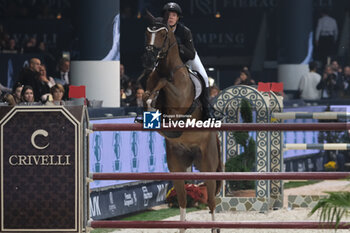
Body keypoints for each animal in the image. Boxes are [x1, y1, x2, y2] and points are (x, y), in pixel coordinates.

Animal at [142, 12, 221, 233]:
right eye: (147, 32)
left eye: (162, 34)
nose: (149, 59)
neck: (166, 68)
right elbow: (147, 95)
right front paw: (150, 102)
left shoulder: (178, 99)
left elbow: (164, 85)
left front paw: (156, 96)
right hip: (177, 165)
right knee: (184, 200)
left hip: (208, 165)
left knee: (211, 201)